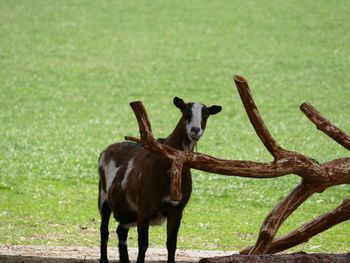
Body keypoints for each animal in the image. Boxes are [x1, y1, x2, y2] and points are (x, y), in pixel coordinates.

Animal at [97, 97, 221, 263]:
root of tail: (107, 150)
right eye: (185, 112)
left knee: (121, 231)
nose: (195, 130)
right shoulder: (144, 209)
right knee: (104, 231)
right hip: (104, 197)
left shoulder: (177, 211)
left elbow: (172, 245)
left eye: (206, 114)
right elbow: (143, 244)